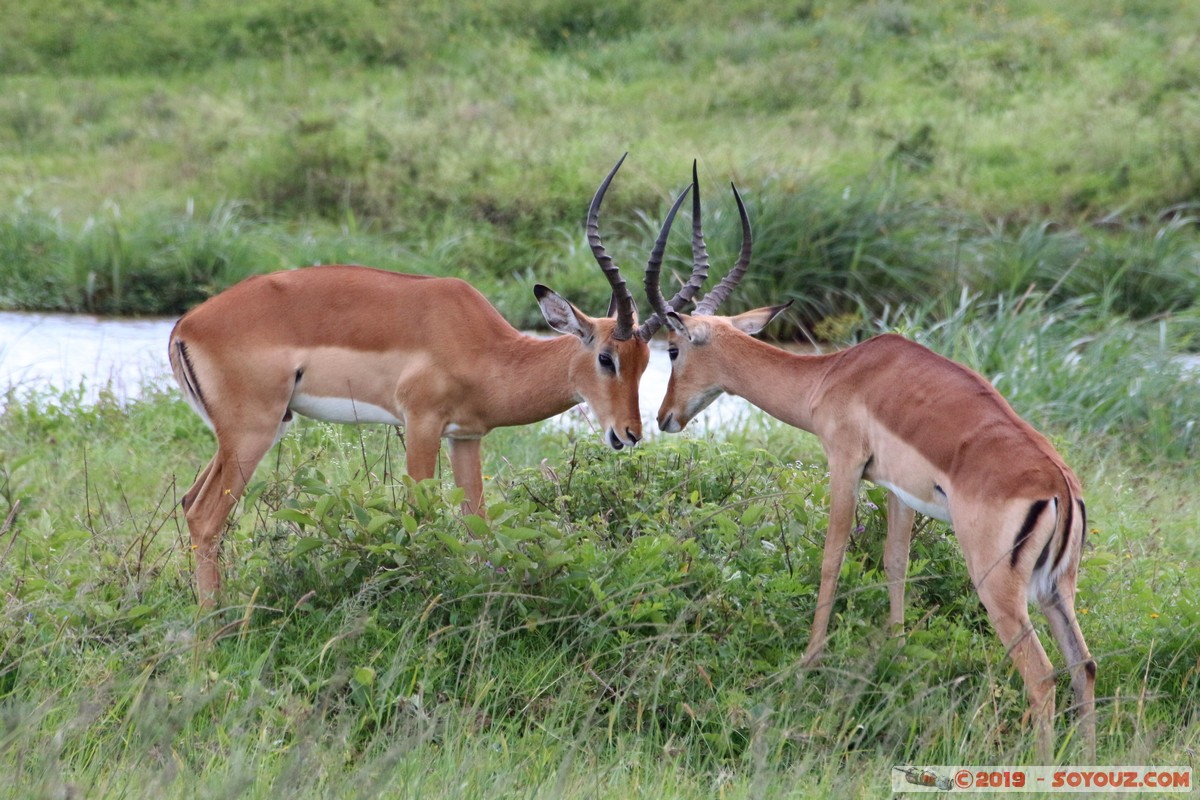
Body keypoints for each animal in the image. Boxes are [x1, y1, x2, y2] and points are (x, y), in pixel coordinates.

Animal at [174, 154, 705, 606]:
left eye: (647, 362)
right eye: (606, 358)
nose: (629, 434)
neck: (484, 347)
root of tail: (187, 325)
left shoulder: (465, 437)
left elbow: (478, 526)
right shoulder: (421, 424)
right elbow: (420, 517)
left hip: (246, 433)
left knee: (189, 502)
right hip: (253, 432)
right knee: (206, 517)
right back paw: (213, 632)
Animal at [652, 172, 1094, 762]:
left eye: (673, 349)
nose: (663, 418)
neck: (836, 373)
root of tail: (1058, 485)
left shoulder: (843, 463)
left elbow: (832, 557)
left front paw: (807, 661)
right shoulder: (897, 491)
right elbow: (895, 562)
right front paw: (899, 653)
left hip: (998, 587)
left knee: (1042, 676)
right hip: (1056, 588)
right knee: (1083, 667)